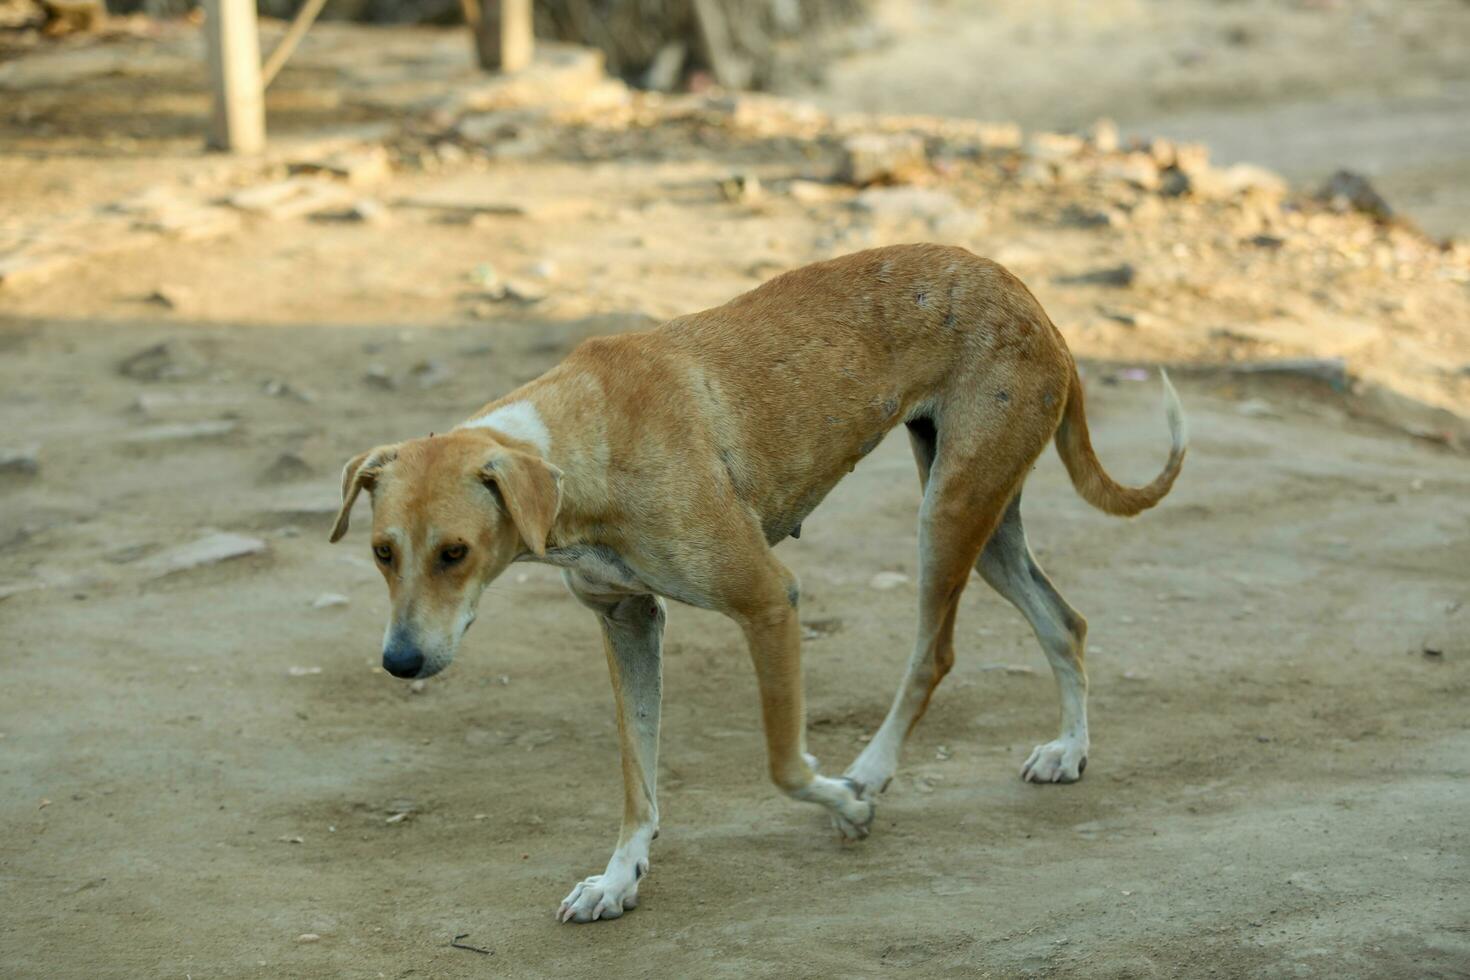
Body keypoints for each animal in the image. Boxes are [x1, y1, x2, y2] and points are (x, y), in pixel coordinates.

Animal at [330, 240, 1181, 922]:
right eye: (381, 553)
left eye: (455, 552)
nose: (399, 664)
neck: (580, 440)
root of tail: (1025, 291)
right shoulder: (627, 622)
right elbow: (636, 777)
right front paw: (619, 879)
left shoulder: (770, 602)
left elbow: (783, 764)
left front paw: (845, 805)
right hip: (985, 519)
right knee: (1063, 621)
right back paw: (1069, 751)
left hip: (948, 515)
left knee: (936, 653)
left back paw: (871, 774)